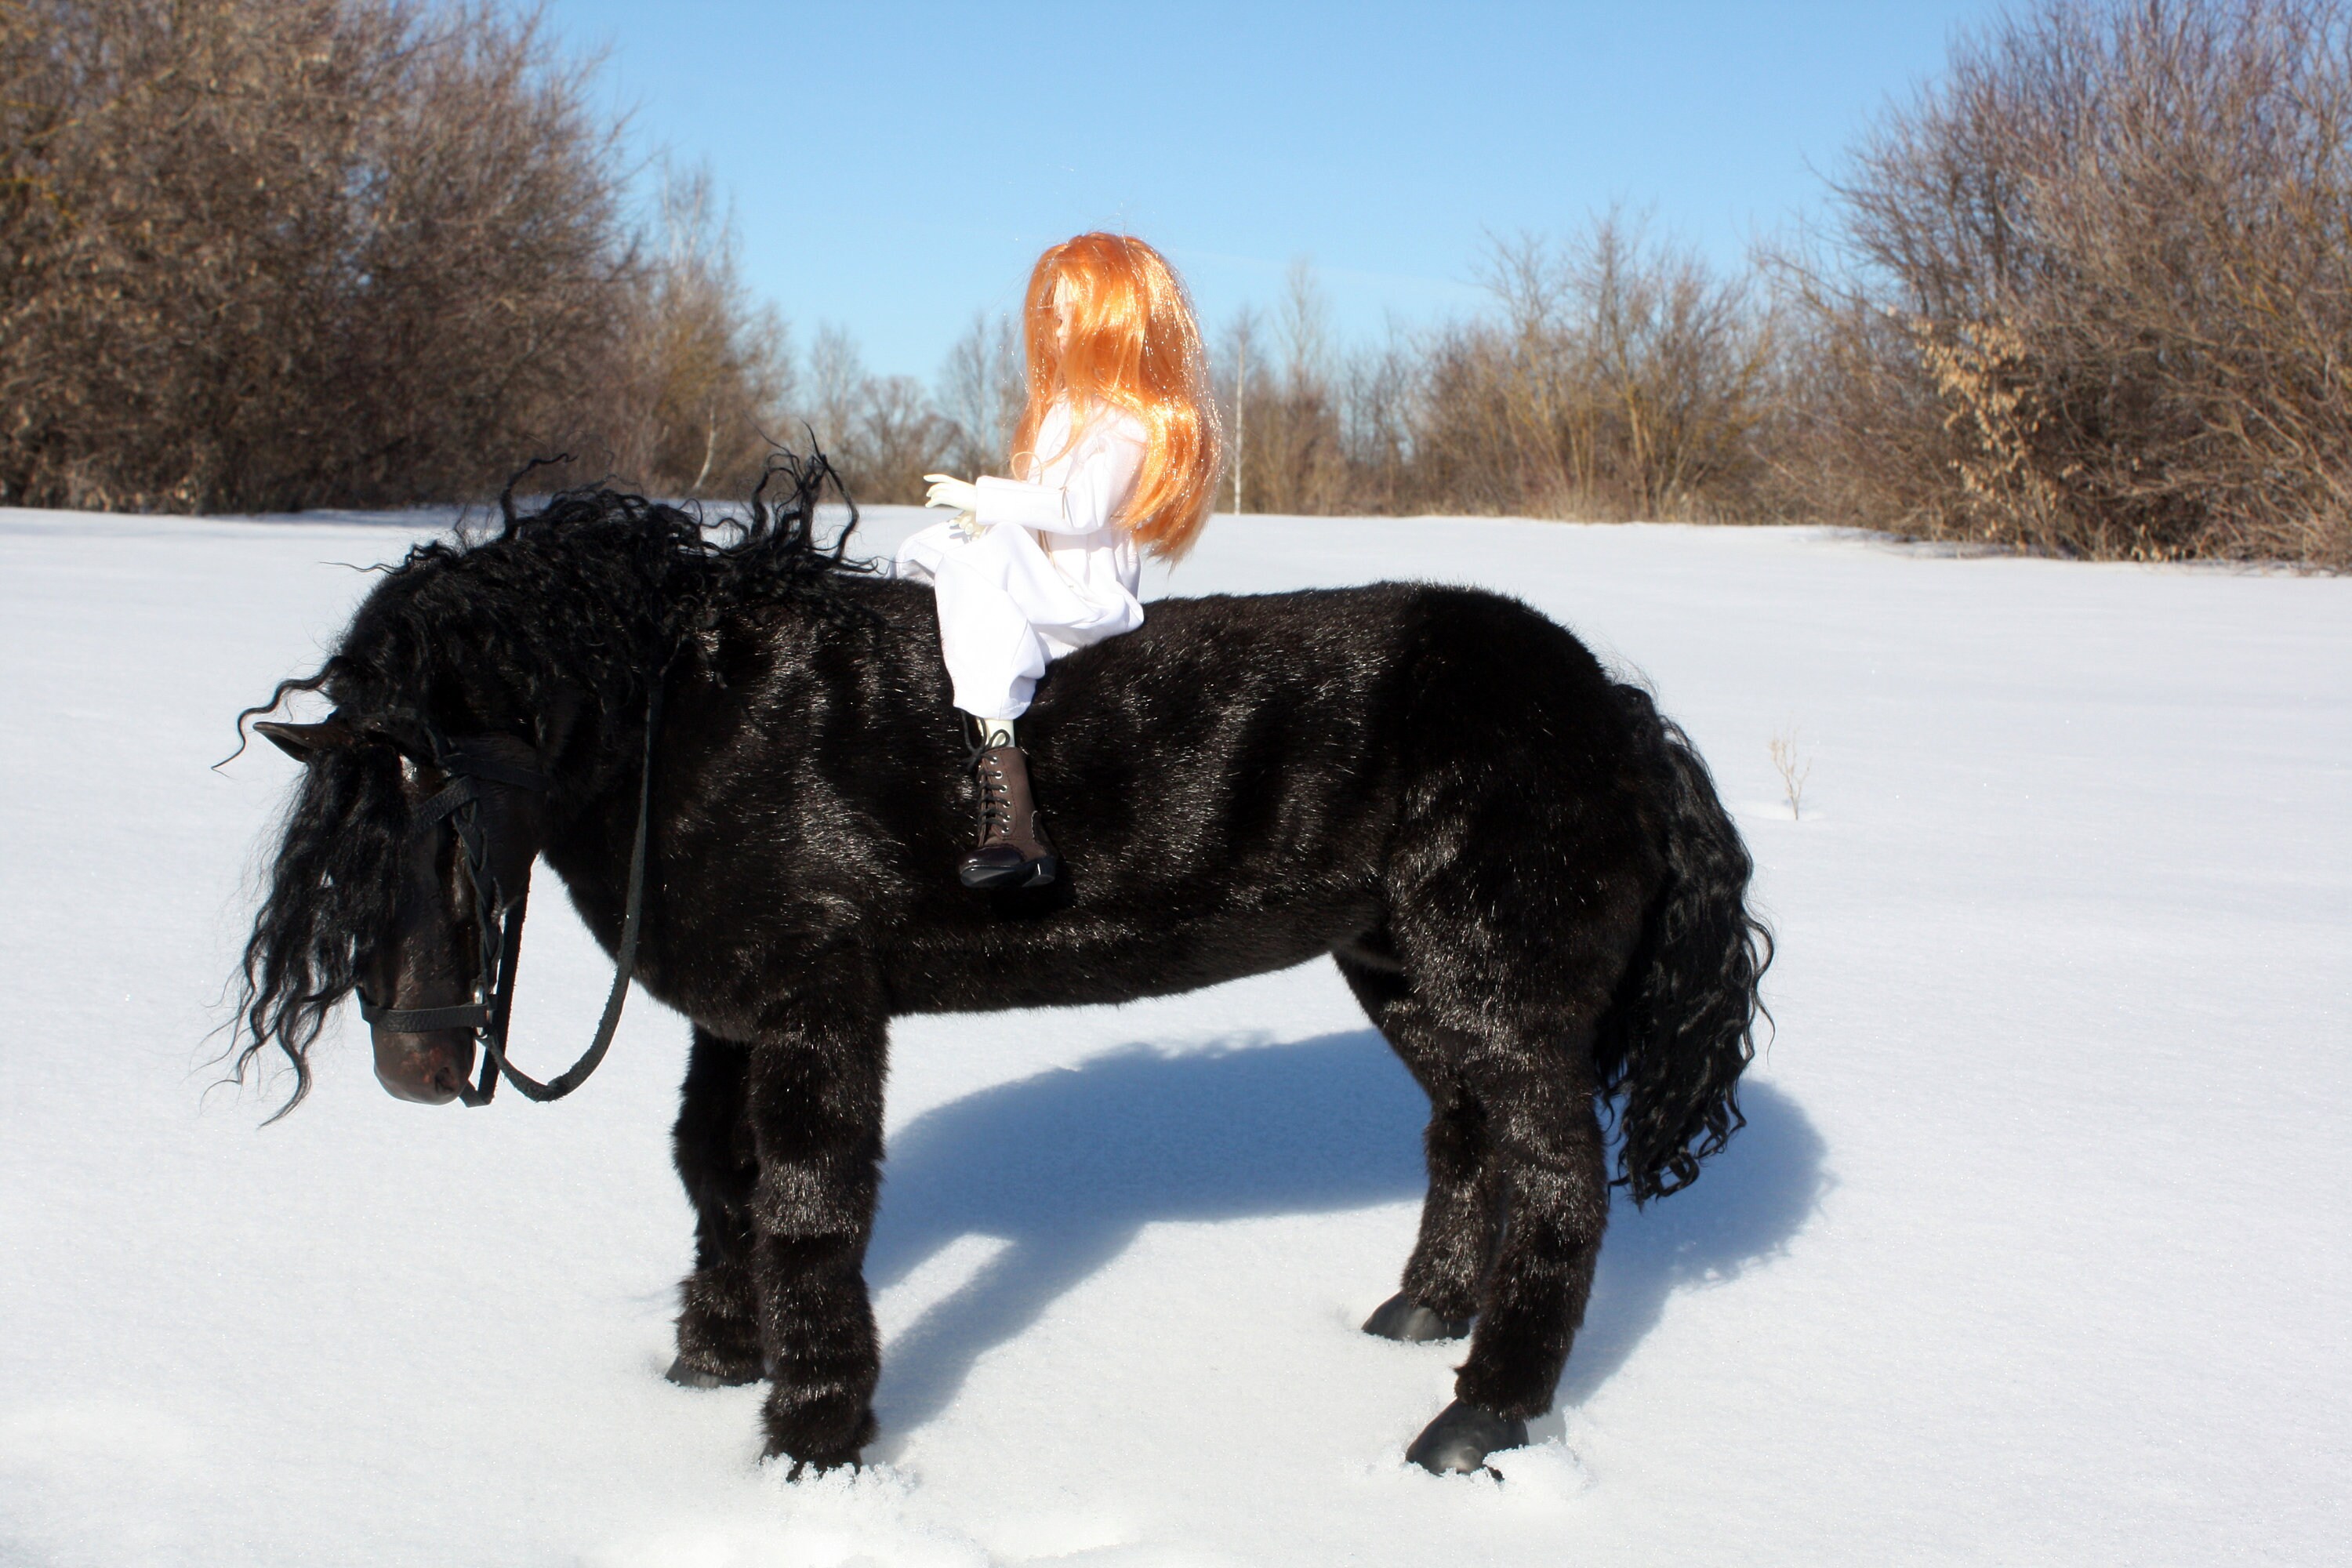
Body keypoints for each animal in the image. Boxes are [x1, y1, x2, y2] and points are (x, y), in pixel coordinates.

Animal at [229, 459, 1770, 1477]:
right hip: (1399, 964)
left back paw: (1475, 1420)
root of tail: (1614, 709)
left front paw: (814, 1441)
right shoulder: (733, 1017)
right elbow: (713, 1177)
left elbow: (809, 1206)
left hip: (1496, 976)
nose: (415, 1065)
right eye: (337, 853)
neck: (703, 730)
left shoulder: (817, 1011)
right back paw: (1416, 1321)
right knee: (1469, 1136)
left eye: (449, 810)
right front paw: (709, 1369)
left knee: (1559, 1176)